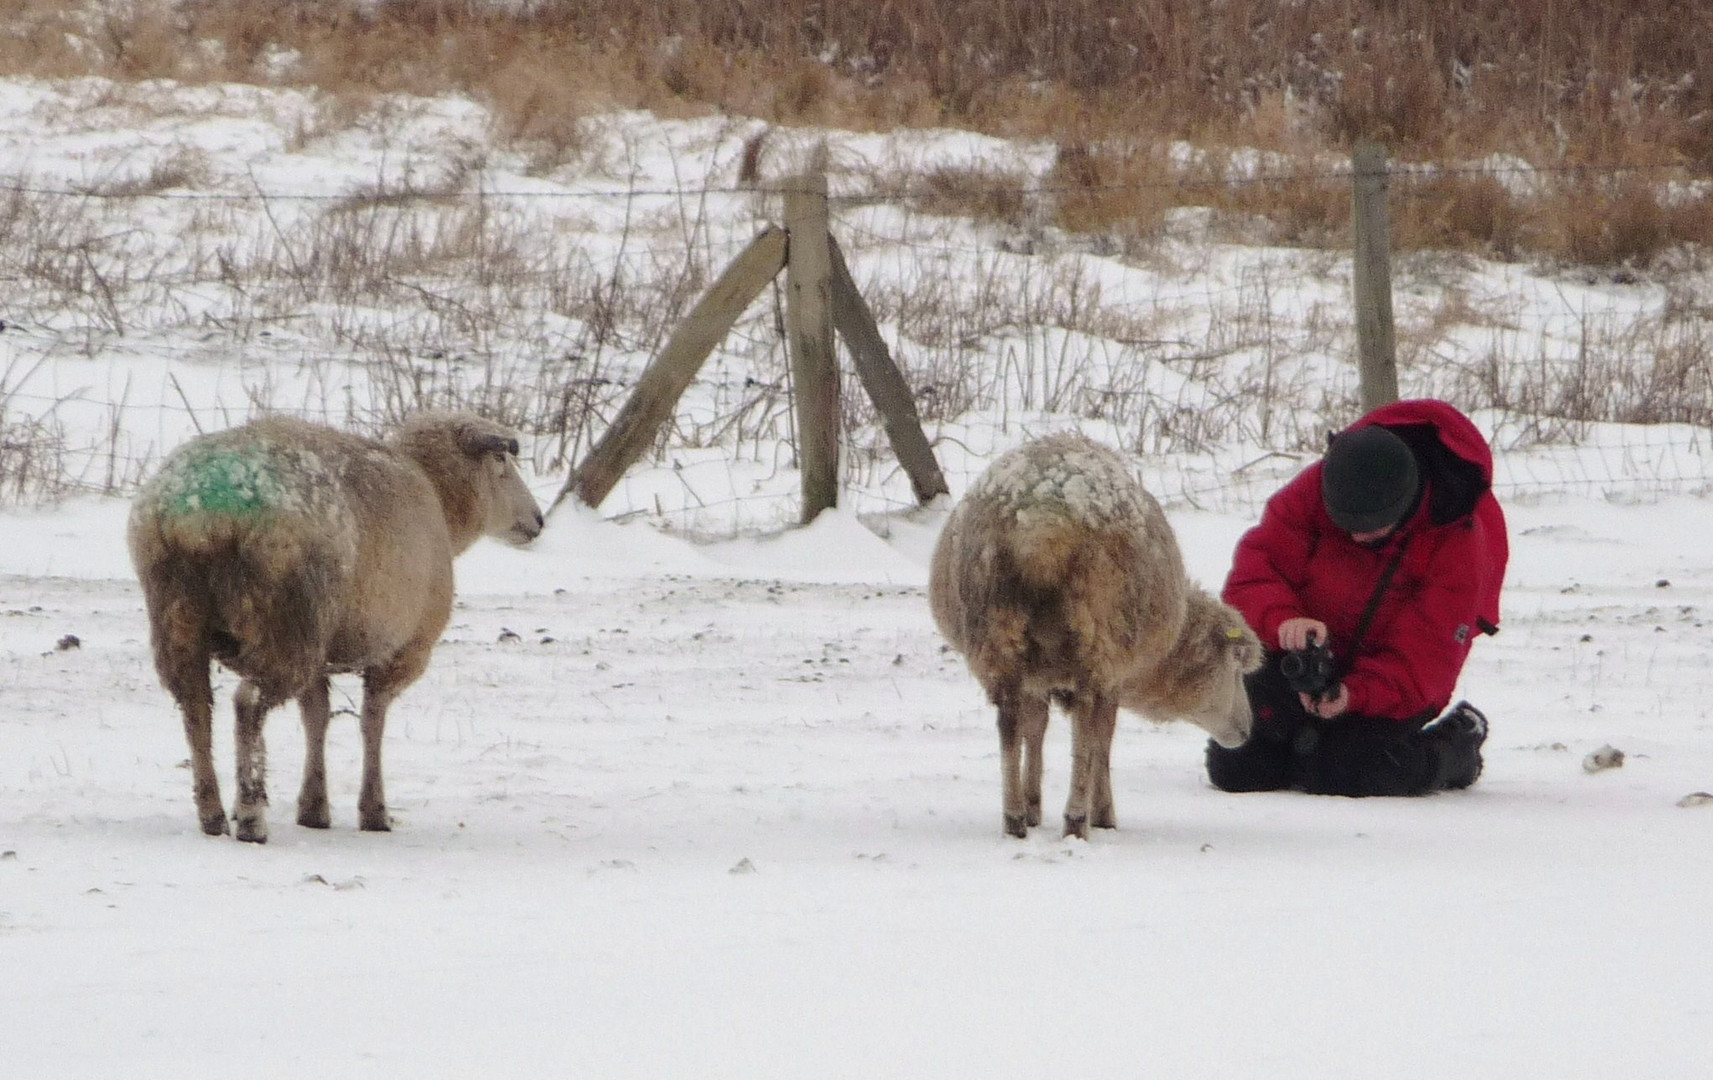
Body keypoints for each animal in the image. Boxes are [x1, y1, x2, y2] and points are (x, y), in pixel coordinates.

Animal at [126, 409, 541, 843]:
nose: (538, 520)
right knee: (248, 704)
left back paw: (213, 815)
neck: (439, 497)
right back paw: (252, 816)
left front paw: (313, 808)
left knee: (195, 707)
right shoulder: (401, 652)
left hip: (179, 612)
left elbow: (317, 718)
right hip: (286, 621)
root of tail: (201, 516)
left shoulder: (323, 656)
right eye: (501, 461)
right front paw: (374, 812)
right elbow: (372, 722)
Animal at [931, 435, 1267, 843]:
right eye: (1235, 665)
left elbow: (1036, 729)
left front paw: (1033, 806)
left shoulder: (1036, 677)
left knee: (1010, 725)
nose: (1248, 731)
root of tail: (1040, 525)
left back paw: (1014, 818)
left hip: (997, 631)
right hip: (1097, 635)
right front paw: (1103, 813)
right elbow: (1103, 741)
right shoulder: (1114, 675)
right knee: (1084, 729)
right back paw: (1077, 818)